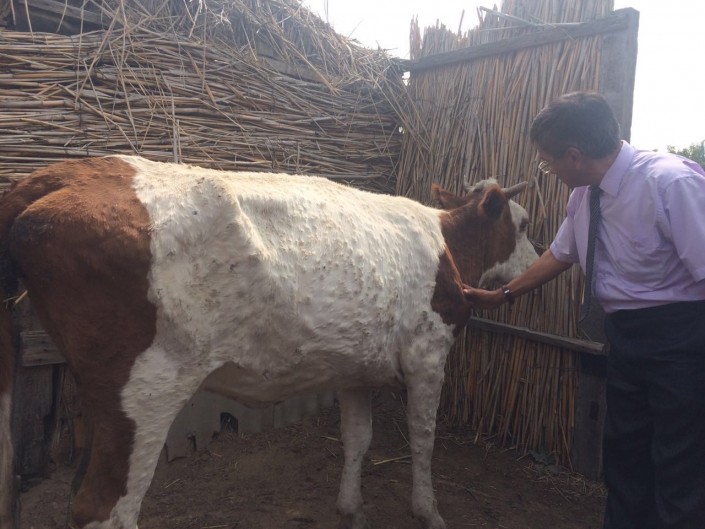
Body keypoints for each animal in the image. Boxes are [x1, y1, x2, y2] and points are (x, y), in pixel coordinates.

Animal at [0, 155, 538, 529]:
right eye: (525, 223)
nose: (536, 265)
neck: (446, 244)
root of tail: (62, 174)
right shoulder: (429, 356)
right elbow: (424, 440)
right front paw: (428, 512)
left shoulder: (357, 368)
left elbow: (358, 439)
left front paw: (351, 509)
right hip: (145, 390)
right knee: (105, 506)